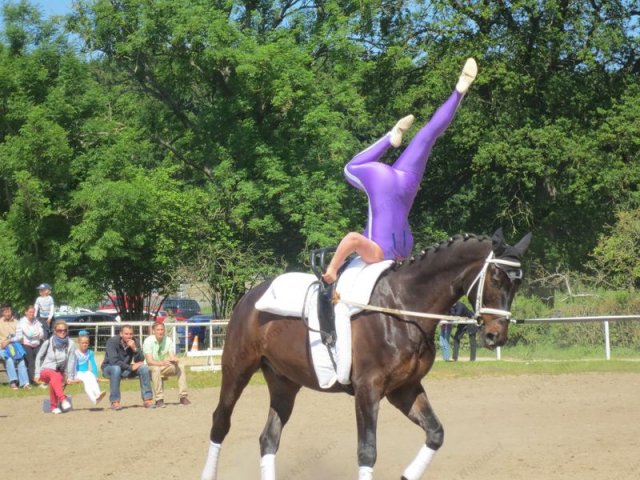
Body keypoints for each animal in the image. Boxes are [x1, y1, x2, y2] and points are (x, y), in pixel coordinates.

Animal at [201, 228, 532, 480]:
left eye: (518, 283)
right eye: (496, 278)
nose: (496, 336)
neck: (401, 307)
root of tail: (251, 295)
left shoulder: (404, 388)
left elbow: (436, 433)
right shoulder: (367, 389)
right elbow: (367, 451)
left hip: (284, 383)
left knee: (269, 438)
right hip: (238, 368)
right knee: (220, 422)